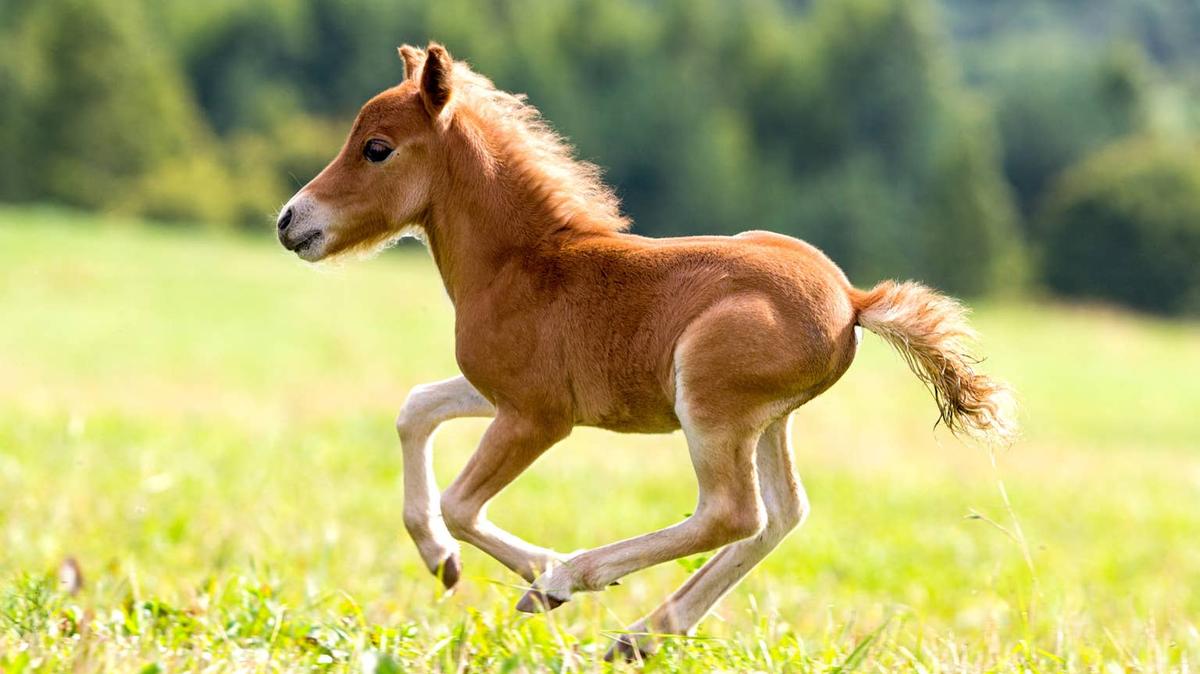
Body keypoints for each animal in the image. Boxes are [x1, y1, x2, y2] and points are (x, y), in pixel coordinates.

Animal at [276, 43, 1016, 660]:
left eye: (376, 148)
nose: (290, 221)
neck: (522, 263)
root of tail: (853, 300)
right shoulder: (498, 393)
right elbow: (414, 410)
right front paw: (440, 559)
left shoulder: (538, 416)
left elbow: (461, 503)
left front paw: (540, 573)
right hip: (768, 421)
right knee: (781, 516)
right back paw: (642, 635)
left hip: (710, 405)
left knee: (732, 514)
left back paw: (576, 581)